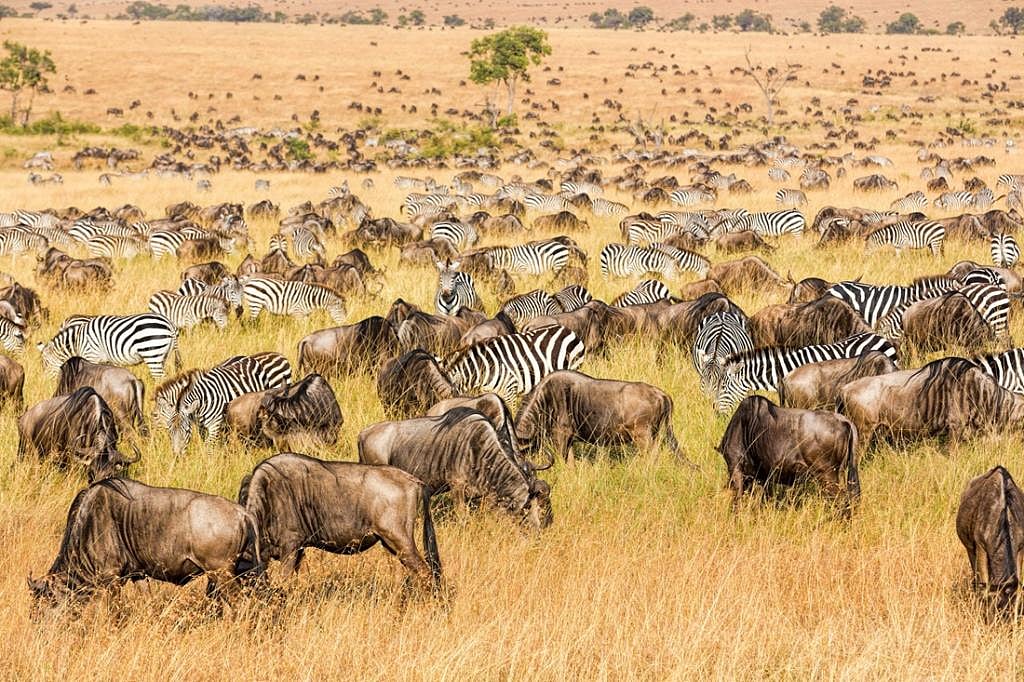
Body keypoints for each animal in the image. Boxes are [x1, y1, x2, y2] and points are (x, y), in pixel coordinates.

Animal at [38, 314, 179, 379]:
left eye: (45, 363)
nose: (45, 383)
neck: (78, 341)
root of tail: (169, 323)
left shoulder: (91, 356)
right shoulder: (106, 361)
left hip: (152, 353)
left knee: (160, 378)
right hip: (164, 355)